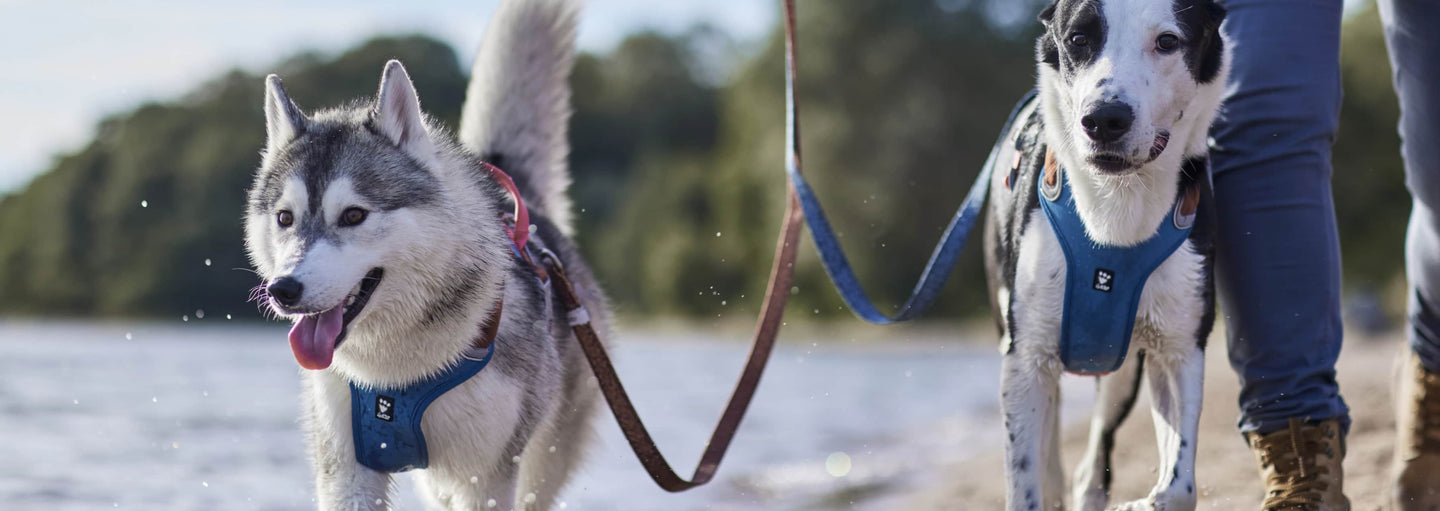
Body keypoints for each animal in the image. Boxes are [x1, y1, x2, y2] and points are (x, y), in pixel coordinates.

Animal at [984, 1, 1232, 511]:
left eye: (1167, 41)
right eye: (1078, 39)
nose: (1103, 120)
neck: (1118, 205)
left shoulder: (1180, 349)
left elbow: (1181, 486)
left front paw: (1143, 502)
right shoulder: (1024, 359)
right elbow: (1025, 482)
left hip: (1121, 373)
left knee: (1089, 469)